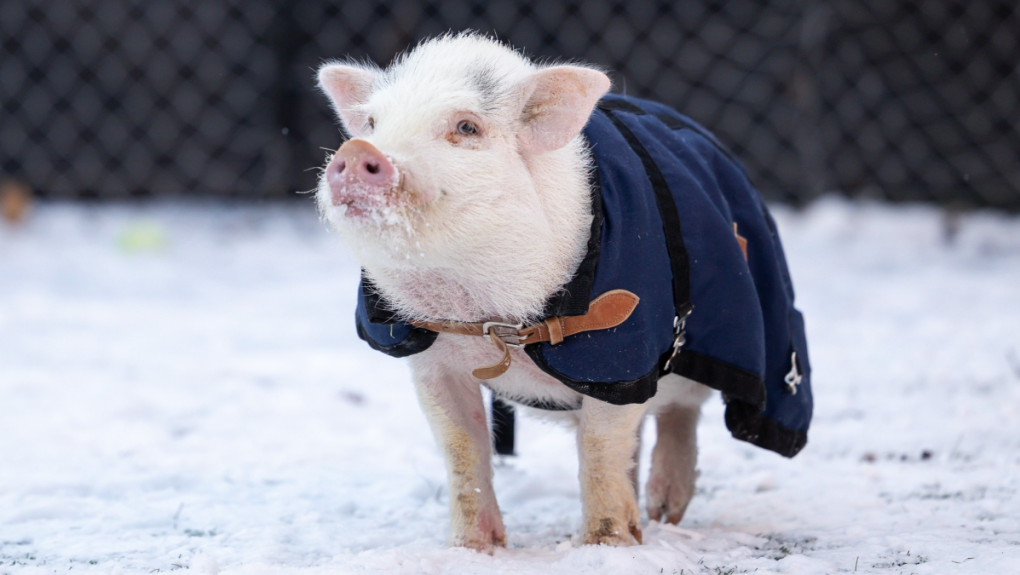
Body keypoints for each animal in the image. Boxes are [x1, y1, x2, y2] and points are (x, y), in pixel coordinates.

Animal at [316, 32, 811, 550]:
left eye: (467, 126)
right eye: (373, 122)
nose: (356, 151)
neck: (489, 319)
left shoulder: (620, 354)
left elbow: (598, 446)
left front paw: (604, 545)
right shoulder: (431, 360)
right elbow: (461, 447)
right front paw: (474, 549)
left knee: (681, 412)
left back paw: (664, 513)